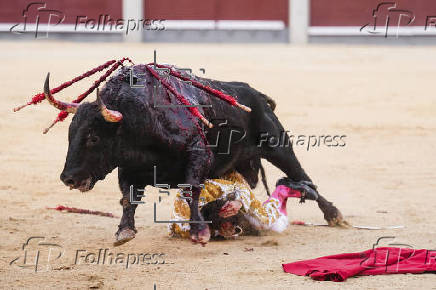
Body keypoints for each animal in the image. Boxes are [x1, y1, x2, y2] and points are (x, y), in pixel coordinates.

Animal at [52, 64, 344, 245]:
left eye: (93, 138)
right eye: (69, 136)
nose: (67, 178)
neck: (140, 117)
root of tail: (257, 95)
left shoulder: (198, 153)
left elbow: (191, 188)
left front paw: (199, 231)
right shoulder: (128, 167)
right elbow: (128, 198)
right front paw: (124, 231)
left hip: (278, 146)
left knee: (302, 176)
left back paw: (334, 215)